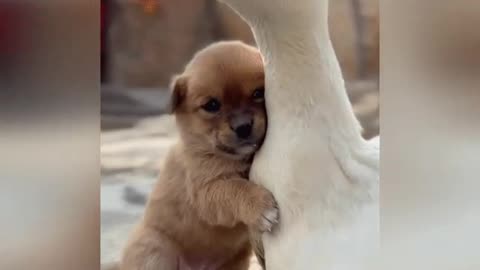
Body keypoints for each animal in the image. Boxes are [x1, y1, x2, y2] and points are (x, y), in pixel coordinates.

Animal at [119, 40, 278, 270]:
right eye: (212, 105)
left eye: (258, 93)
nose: (243, 127)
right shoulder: (206, 189)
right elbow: (237, 188)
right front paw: (261, 206)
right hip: (156, 250)